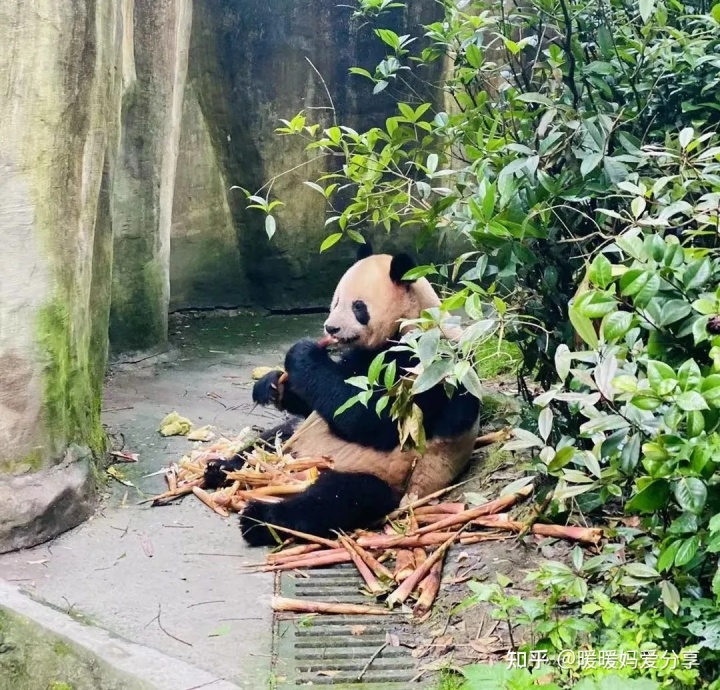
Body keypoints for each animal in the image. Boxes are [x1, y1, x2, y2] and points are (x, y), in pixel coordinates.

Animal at [205, 245, 480, 544]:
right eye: (335, 301)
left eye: (358, 307)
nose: (331, 329)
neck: (414, 319)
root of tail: (299, 463)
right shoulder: (360, 358)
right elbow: (323, 396)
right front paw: (271, 384)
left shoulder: (428, 364)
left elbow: (372, 420)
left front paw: (302, 353)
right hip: (293, 440)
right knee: (266, 443)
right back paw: (220, 469)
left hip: (381, 474)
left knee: (334, 500)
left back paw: (259, 519)